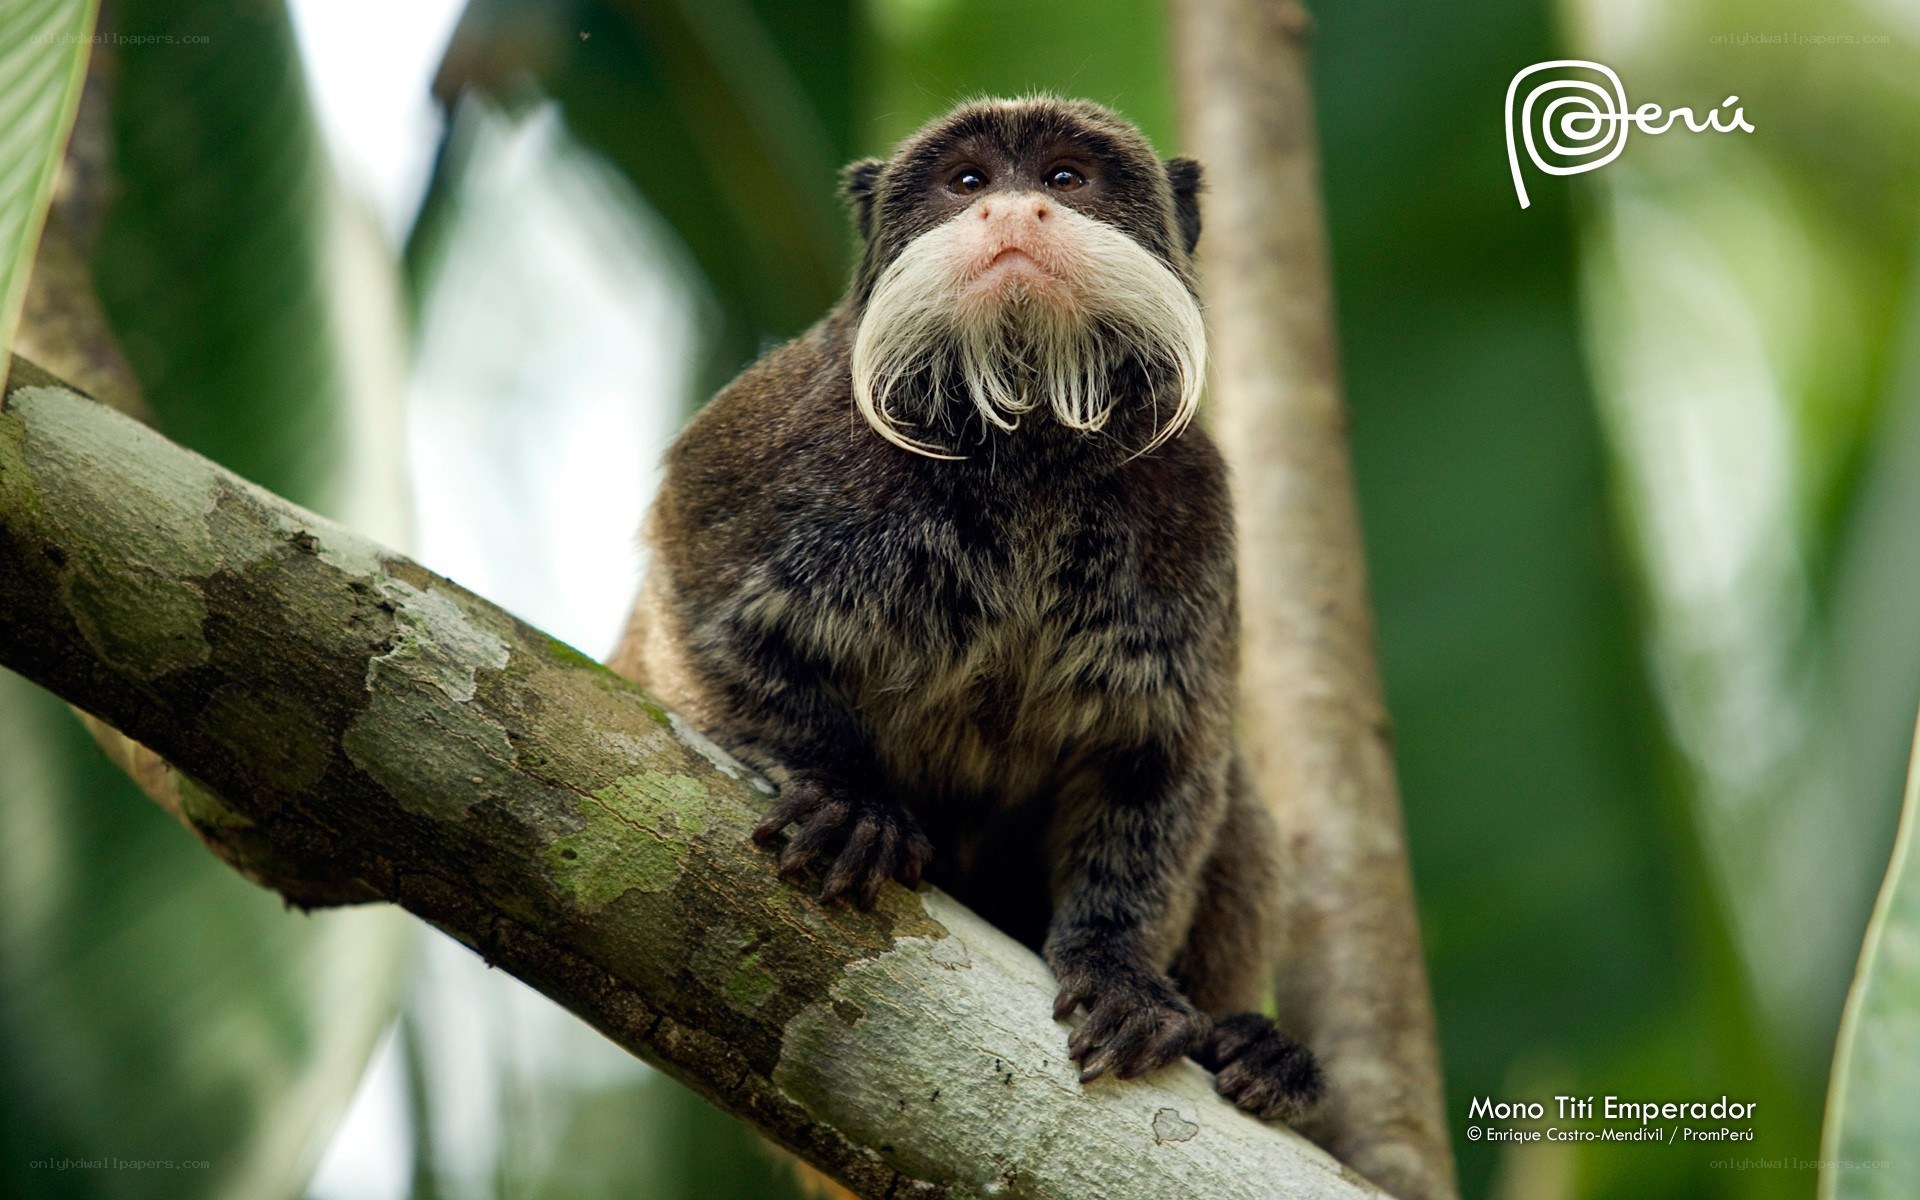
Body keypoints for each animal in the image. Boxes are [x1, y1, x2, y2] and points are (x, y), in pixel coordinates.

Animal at [609, 95, 1323, 1121]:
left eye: (1064, 178)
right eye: (969, 182)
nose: (1015, 211)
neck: (1023, 439)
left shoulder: (1195, 514)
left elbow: (1166, 760)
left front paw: (1116, 965)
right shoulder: (773, 445)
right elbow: (697, 623)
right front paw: (847, 794)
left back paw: (1257, 1050)